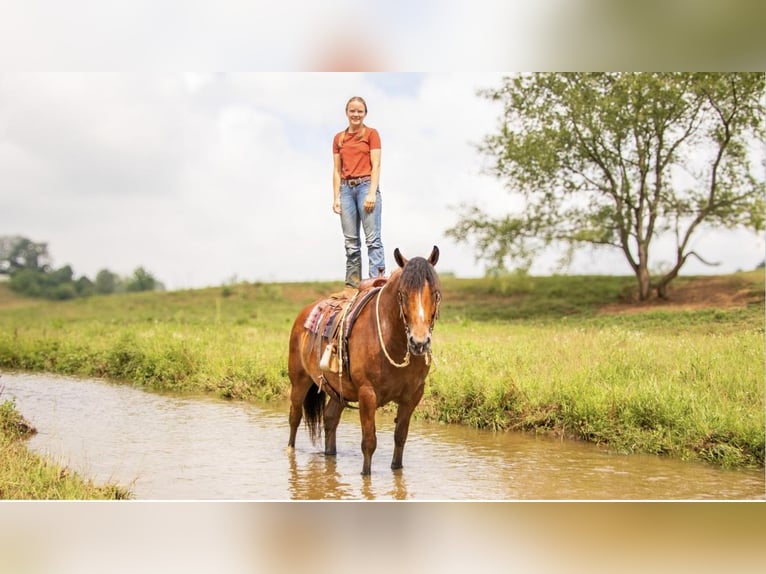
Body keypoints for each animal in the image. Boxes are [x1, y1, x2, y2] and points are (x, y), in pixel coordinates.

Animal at [288, 248, 444, 476]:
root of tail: (303, 314)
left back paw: (330, 455)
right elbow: (369, 441)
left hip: (337, 390)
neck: (391, 338)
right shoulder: (367, 394)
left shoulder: (413, 396)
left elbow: (400, 437)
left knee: (330, 419)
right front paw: (365, 476)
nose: (419, 342)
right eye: (402, 294)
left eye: (435, 293)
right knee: (295, 417)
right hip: (299, 381)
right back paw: (290, 451)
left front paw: (397, 470)